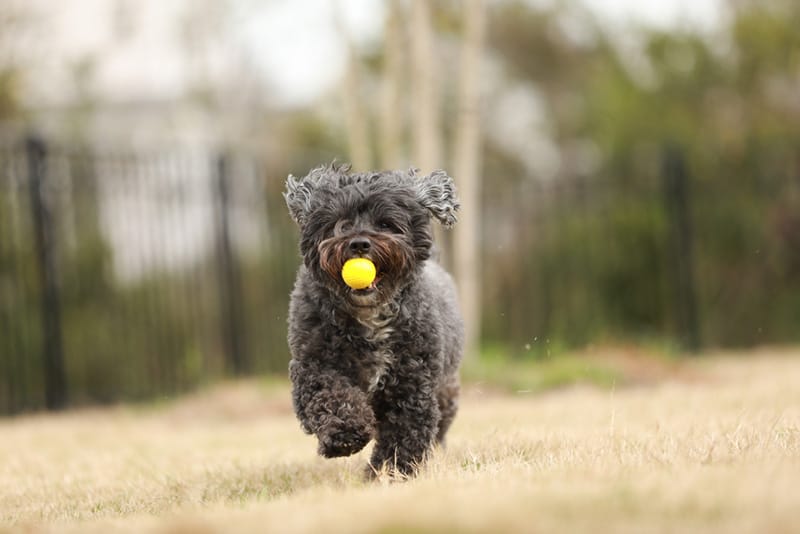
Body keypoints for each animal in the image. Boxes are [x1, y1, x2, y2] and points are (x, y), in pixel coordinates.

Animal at [286, 164, 462, 482]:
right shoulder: (315, 364)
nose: (359, 243)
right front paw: (345, 435)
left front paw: (388, 474)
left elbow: (403, 434)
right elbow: (331, 395)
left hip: (446, 390)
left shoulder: (411, 385)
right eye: (340, 224)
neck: (369, 315)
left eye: (385, 224)